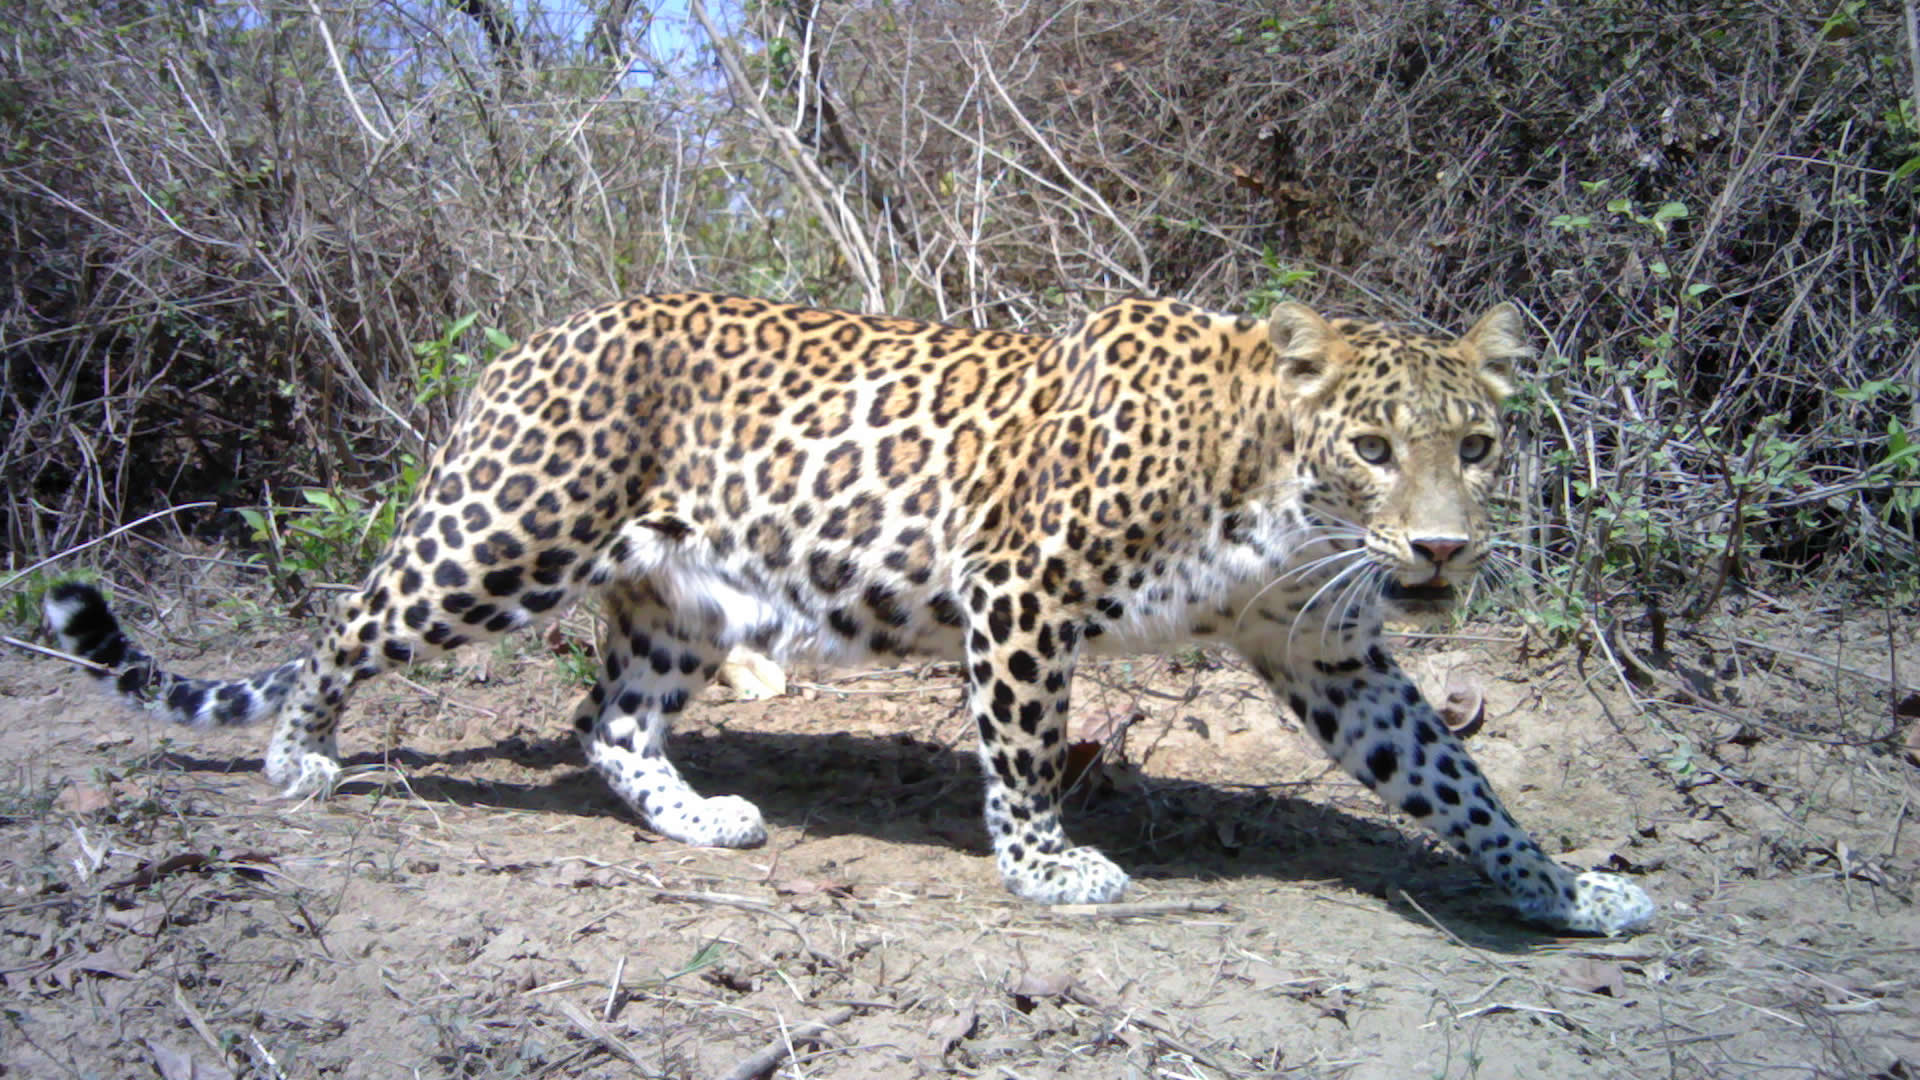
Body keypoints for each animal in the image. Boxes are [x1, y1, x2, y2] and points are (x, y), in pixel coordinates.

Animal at [48, 288, 1666, 933]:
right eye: (1375, 446)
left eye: (1479, 444)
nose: (1442, 552)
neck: (1268, 488)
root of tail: (532, 338)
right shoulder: (1021, 584)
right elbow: (1024, 748)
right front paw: (1048, 870)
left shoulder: (1328, 650)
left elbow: (1456, 780)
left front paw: (1566, 891)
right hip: (506, 535)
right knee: (348, 619)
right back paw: (300, 755)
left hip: (675, 597)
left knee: (604, 720)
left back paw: (700, 819)